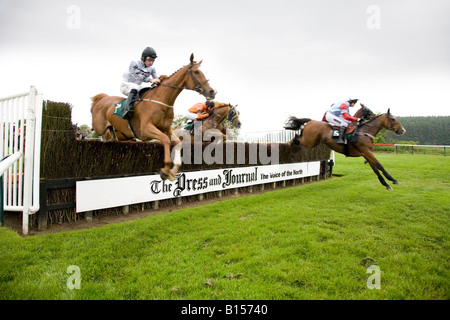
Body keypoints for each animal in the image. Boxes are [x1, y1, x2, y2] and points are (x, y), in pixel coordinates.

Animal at [90, 53, 215, 181]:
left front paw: (173, 171)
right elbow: (165, 140)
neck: (161, 100)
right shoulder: (145, 129)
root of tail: (103, 98)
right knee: (101, 133)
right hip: (99, 126)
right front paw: (165, 170)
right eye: (196, 72)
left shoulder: (166, 128)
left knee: (111, 135)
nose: (212, 92)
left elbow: (178, 143)